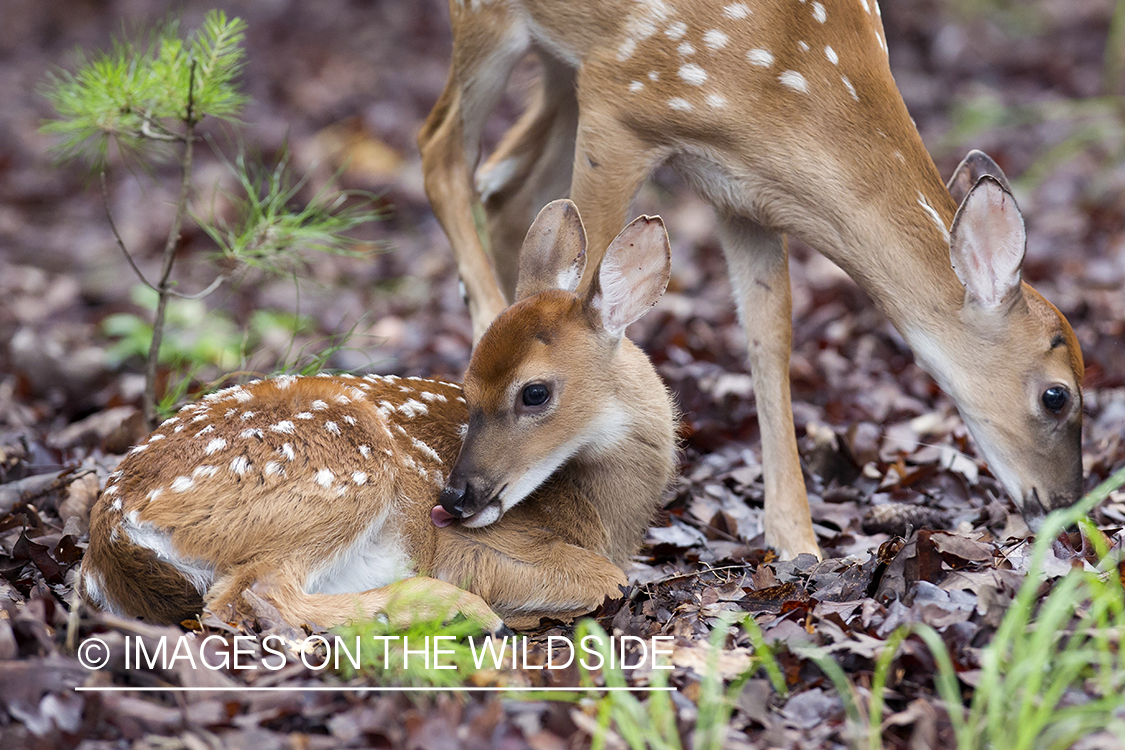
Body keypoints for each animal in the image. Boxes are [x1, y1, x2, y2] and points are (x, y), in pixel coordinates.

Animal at [83, 202, 675, 629]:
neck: (607, 520)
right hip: (345, 475)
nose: (452, 498)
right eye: (467, 389)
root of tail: (112, 523)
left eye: (534, 393)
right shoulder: (475, 546)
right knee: (249, 597)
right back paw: (458, 611)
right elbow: (604, 578)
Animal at [420, 0, 1080, 557]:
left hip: (560, 64)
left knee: (509, 187)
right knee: (440, 146)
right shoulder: (619, 98)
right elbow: (590, 282)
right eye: (1059, 395)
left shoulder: (746, 195)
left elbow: (770, 339)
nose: (1067, 509)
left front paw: (797, 541)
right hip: (489, 22)